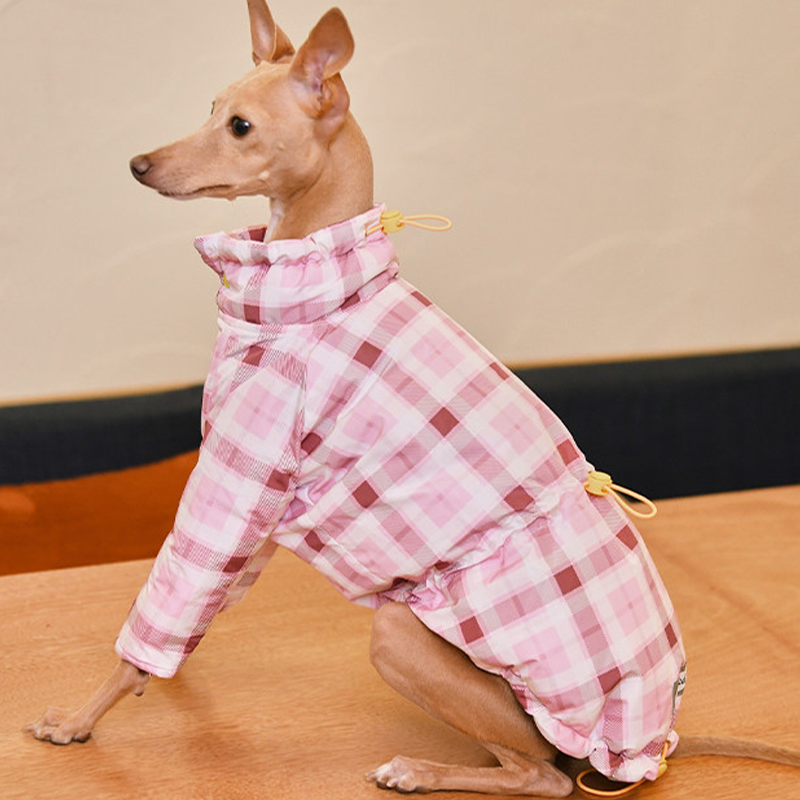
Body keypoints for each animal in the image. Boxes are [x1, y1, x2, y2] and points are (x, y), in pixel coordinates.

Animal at [26, 3, 800, 796]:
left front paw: (80, 720)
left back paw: (417, 770)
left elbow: (174, 592)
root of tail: (657, 739)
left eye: (240, 126)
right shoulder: (261, 503)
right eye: (209, 108)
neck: (323, 280)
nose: (139, 164)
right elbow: (203, 599)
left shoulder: (243, 469)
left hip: (402, 635)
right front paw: (166, 676)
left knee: (541, 774)